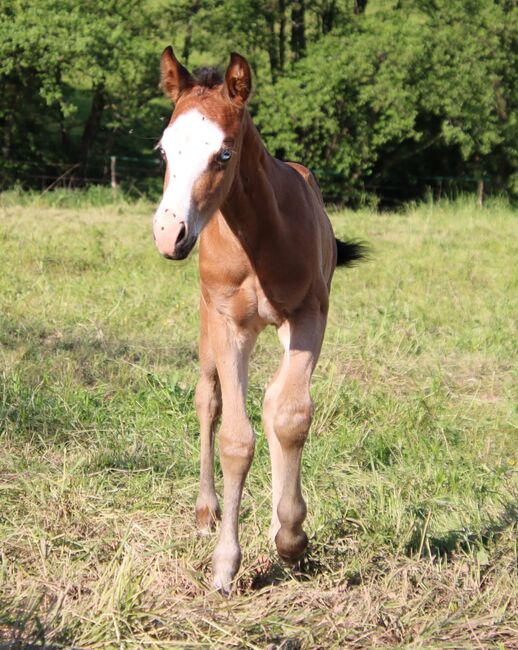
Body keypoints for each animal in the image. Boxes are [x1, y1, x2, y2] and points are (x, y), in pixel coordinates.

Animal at [152, 45, 368, 592]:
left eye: (224, 154)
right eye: (163, 152)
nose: (169, 233)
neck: (260, 235)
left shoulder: (309, 316)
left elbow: (288, 416)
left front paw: (290, 538)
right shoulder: (229, 325)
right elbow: (235, 436)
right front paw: (226, 564)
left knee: (272, 404)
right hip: (207, 328)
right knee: (207, 401)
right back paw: (206, 511)